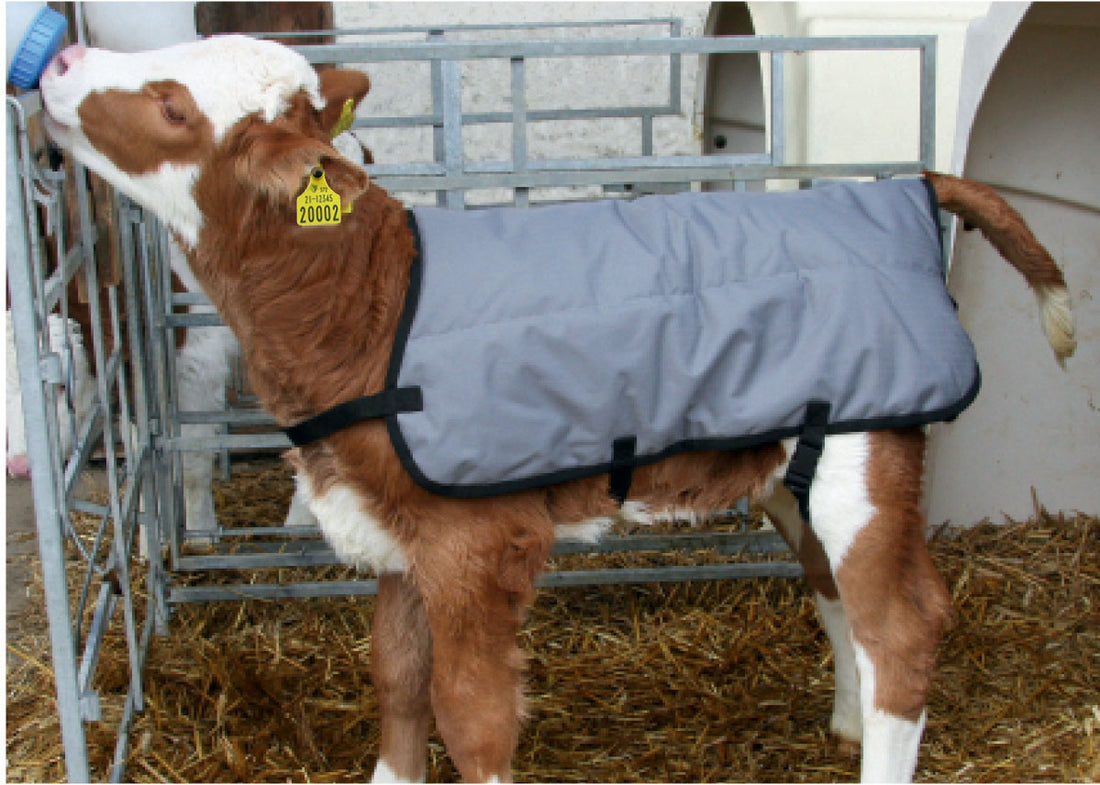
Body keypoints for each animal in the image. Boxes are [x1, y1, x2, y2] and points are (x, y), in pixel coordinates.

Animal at [39, 35, 1075, 783]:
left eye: (173, 107)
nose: (58, 60)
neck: (363, 300)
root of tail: (904, 186)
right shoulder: (399, 531)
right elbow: (399, 685)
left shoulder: (474, 540)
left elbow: (472, 714)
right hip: (795, 465)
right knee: (836, 597)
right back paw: (846, 729)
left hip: (867, 453)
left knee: (900, 625)